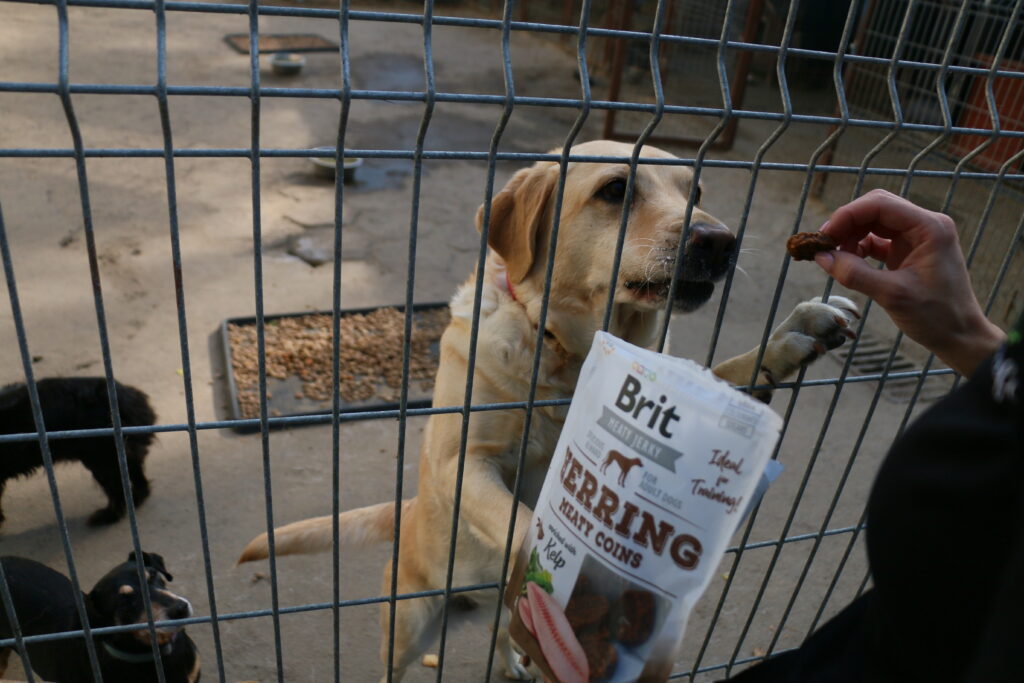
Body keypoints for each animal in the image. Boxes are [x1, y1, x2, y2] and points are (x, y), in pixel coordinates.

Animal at [237, 141, 856, 679]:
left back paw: (517, 660)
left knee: (497, 634)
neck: (572, 356)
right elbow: (523, 523)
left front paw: (794, 333)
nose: (721, 241)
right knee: (396, 660)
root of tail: (408, 512)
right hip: (409, 623)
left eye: (695, 189)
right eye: (615, 189)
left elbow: (732, 370)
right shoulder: (464, 461)